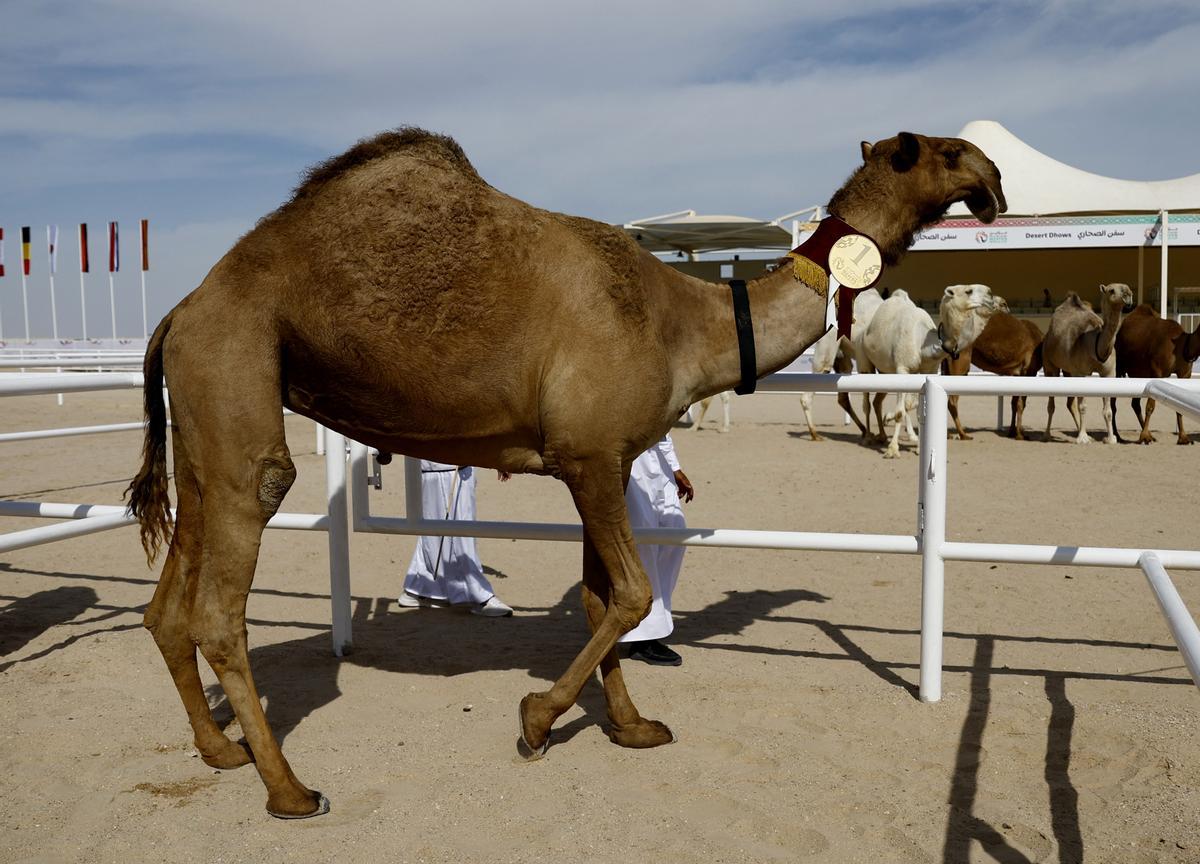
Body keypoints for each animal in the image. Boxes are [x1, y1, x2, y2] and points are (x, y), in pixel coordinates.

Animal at [864, 285, 993, 458]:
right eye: (968, 291)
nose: (990, 294)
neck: (922, 343)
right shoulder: (902, 368)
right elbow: (900, 412)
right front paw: (893, 450)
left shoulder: (928, 370)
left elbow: (918, 411)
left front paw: (919, 448)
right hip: (864, 359)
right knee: (867, 400)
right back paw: (868, 436)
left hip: (885, 371)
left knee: (878, 401)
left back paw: (883, 435)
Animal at [940, 303, 1046, 439]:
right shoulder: (1028, 372)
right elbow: (1021, 404)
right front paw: (1020, 435)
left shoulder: (1017, 374)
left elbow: (1014, 403)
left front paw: (1012, 432)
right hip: (961, 359)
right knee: (952, 401)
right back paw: (963, 434)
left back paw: (949, 434)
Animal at [1041, 285, 1132, 446]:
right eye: (1111, 290)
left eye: (1126, 287)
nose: (1128, 294)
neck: (1095, 342)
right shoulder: (1080, 373)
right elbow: (1083, 406)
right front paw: (1082, 438)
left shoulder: (1109, 373)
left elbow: (1108, 410)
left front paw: (1110, 438)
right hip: (1049, 365)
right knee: (1051, 404)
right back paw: (1047, 435)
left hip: (1068, 370)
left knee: (1070, 404)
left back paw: (1085, 433)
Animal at [1104, 306, 1200, 441]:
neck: (1182, 346)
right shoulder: (1157, 371)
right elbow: (1150, 406)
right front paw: (1144, 436)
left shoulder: (1185, 374)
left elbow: (1180, 407)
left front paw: (1183, 437)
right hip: (1119, 365)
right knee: (1114, 402)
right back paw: (1118, 435)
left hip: (1138, 372)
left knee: (1135, 403)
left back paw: (1149, 434)